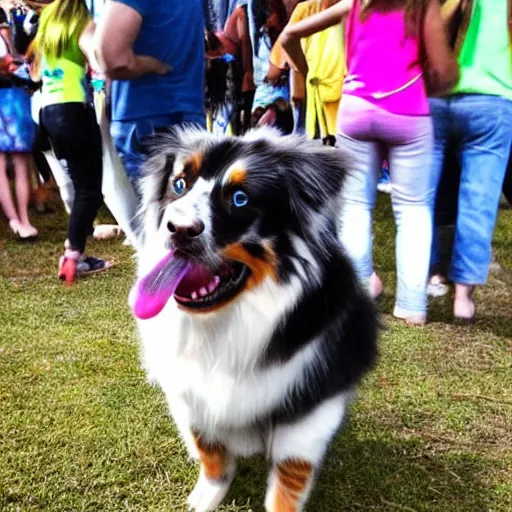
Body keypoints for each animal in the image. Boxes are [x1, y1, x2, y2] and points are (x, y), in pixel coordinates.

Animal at [130, 125, 378, 512]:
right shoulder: (191, 395)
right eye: (180, 184)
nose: (178, 229)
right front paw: (204, 497)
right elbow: (210, 451)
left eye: (240, 199)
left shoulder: (308, 412)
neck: (228, 319)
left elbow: (289, 481)